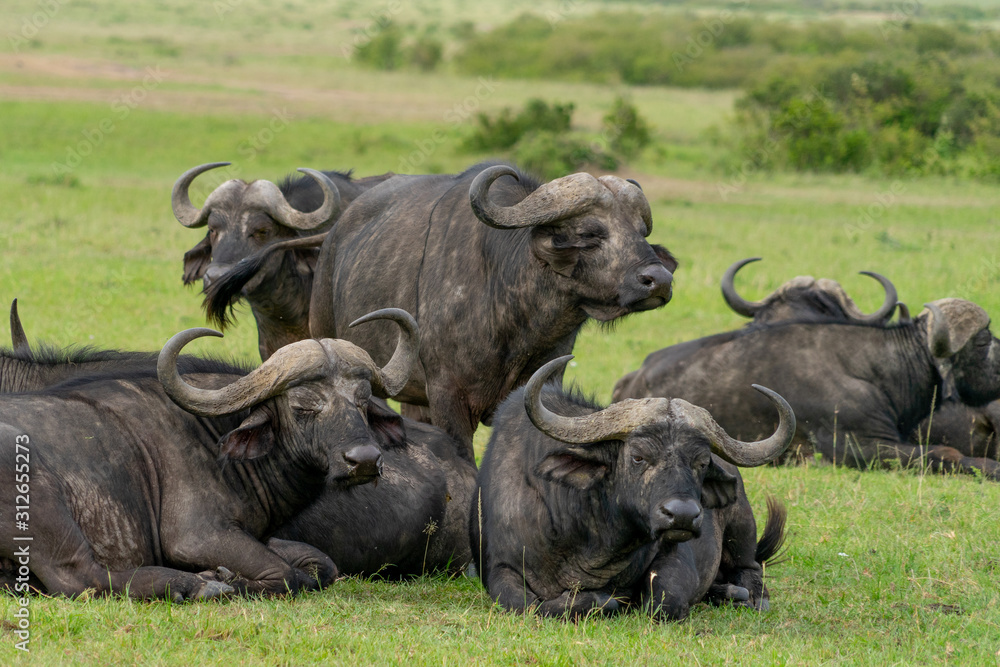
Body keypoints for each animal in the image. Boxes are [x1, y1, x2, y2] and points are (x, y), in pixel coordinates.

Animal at [472, 358, 792, 624]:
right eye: (638, 456)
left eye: (701, 463)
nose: (683, 515)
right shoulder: (500, 569)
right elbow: (530, 605)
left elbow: (665, 600)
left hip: (743, 528)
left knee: (751, 569)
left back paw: (743, 595)